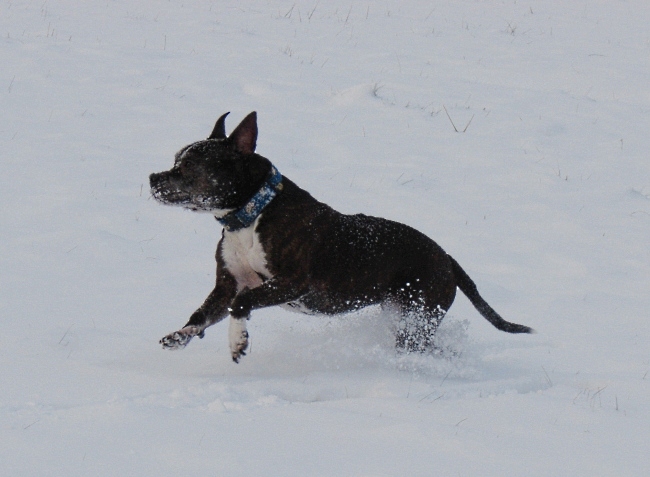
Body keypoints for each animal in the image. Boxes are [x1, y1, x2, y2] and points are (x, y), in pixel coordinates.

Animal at [149, 111, 528, 360]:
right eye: (176, 159)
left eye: (190, 166)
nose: (153, 177)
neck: (250, 214)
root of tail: (447, 258)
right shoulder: (227, 284)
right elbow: (203, 314)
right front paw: (180, 336)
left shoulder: (293, 282)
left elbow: (241, 305)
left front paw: (237, 341)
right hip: (403, 314)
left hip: (419, 315)